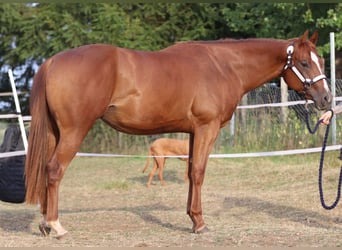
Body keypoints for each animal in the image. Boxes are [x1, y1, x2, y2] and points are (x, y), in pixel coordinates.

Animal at [24, 31, 332, 238]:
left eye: (321, 59)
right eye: (304, 63)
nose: (326, 99)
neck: (223, 65)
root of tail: (53, 61)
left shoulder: (194, 131)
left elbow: (191, 172)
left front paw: (192, 219)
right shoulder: (207, 128)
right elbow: (198, 172)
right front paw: (200, 223)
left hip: (55, 133)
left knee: (45, 170)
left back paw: (44, 223)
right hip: (74, 132)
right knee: (54, 170)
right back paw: (56, 225)